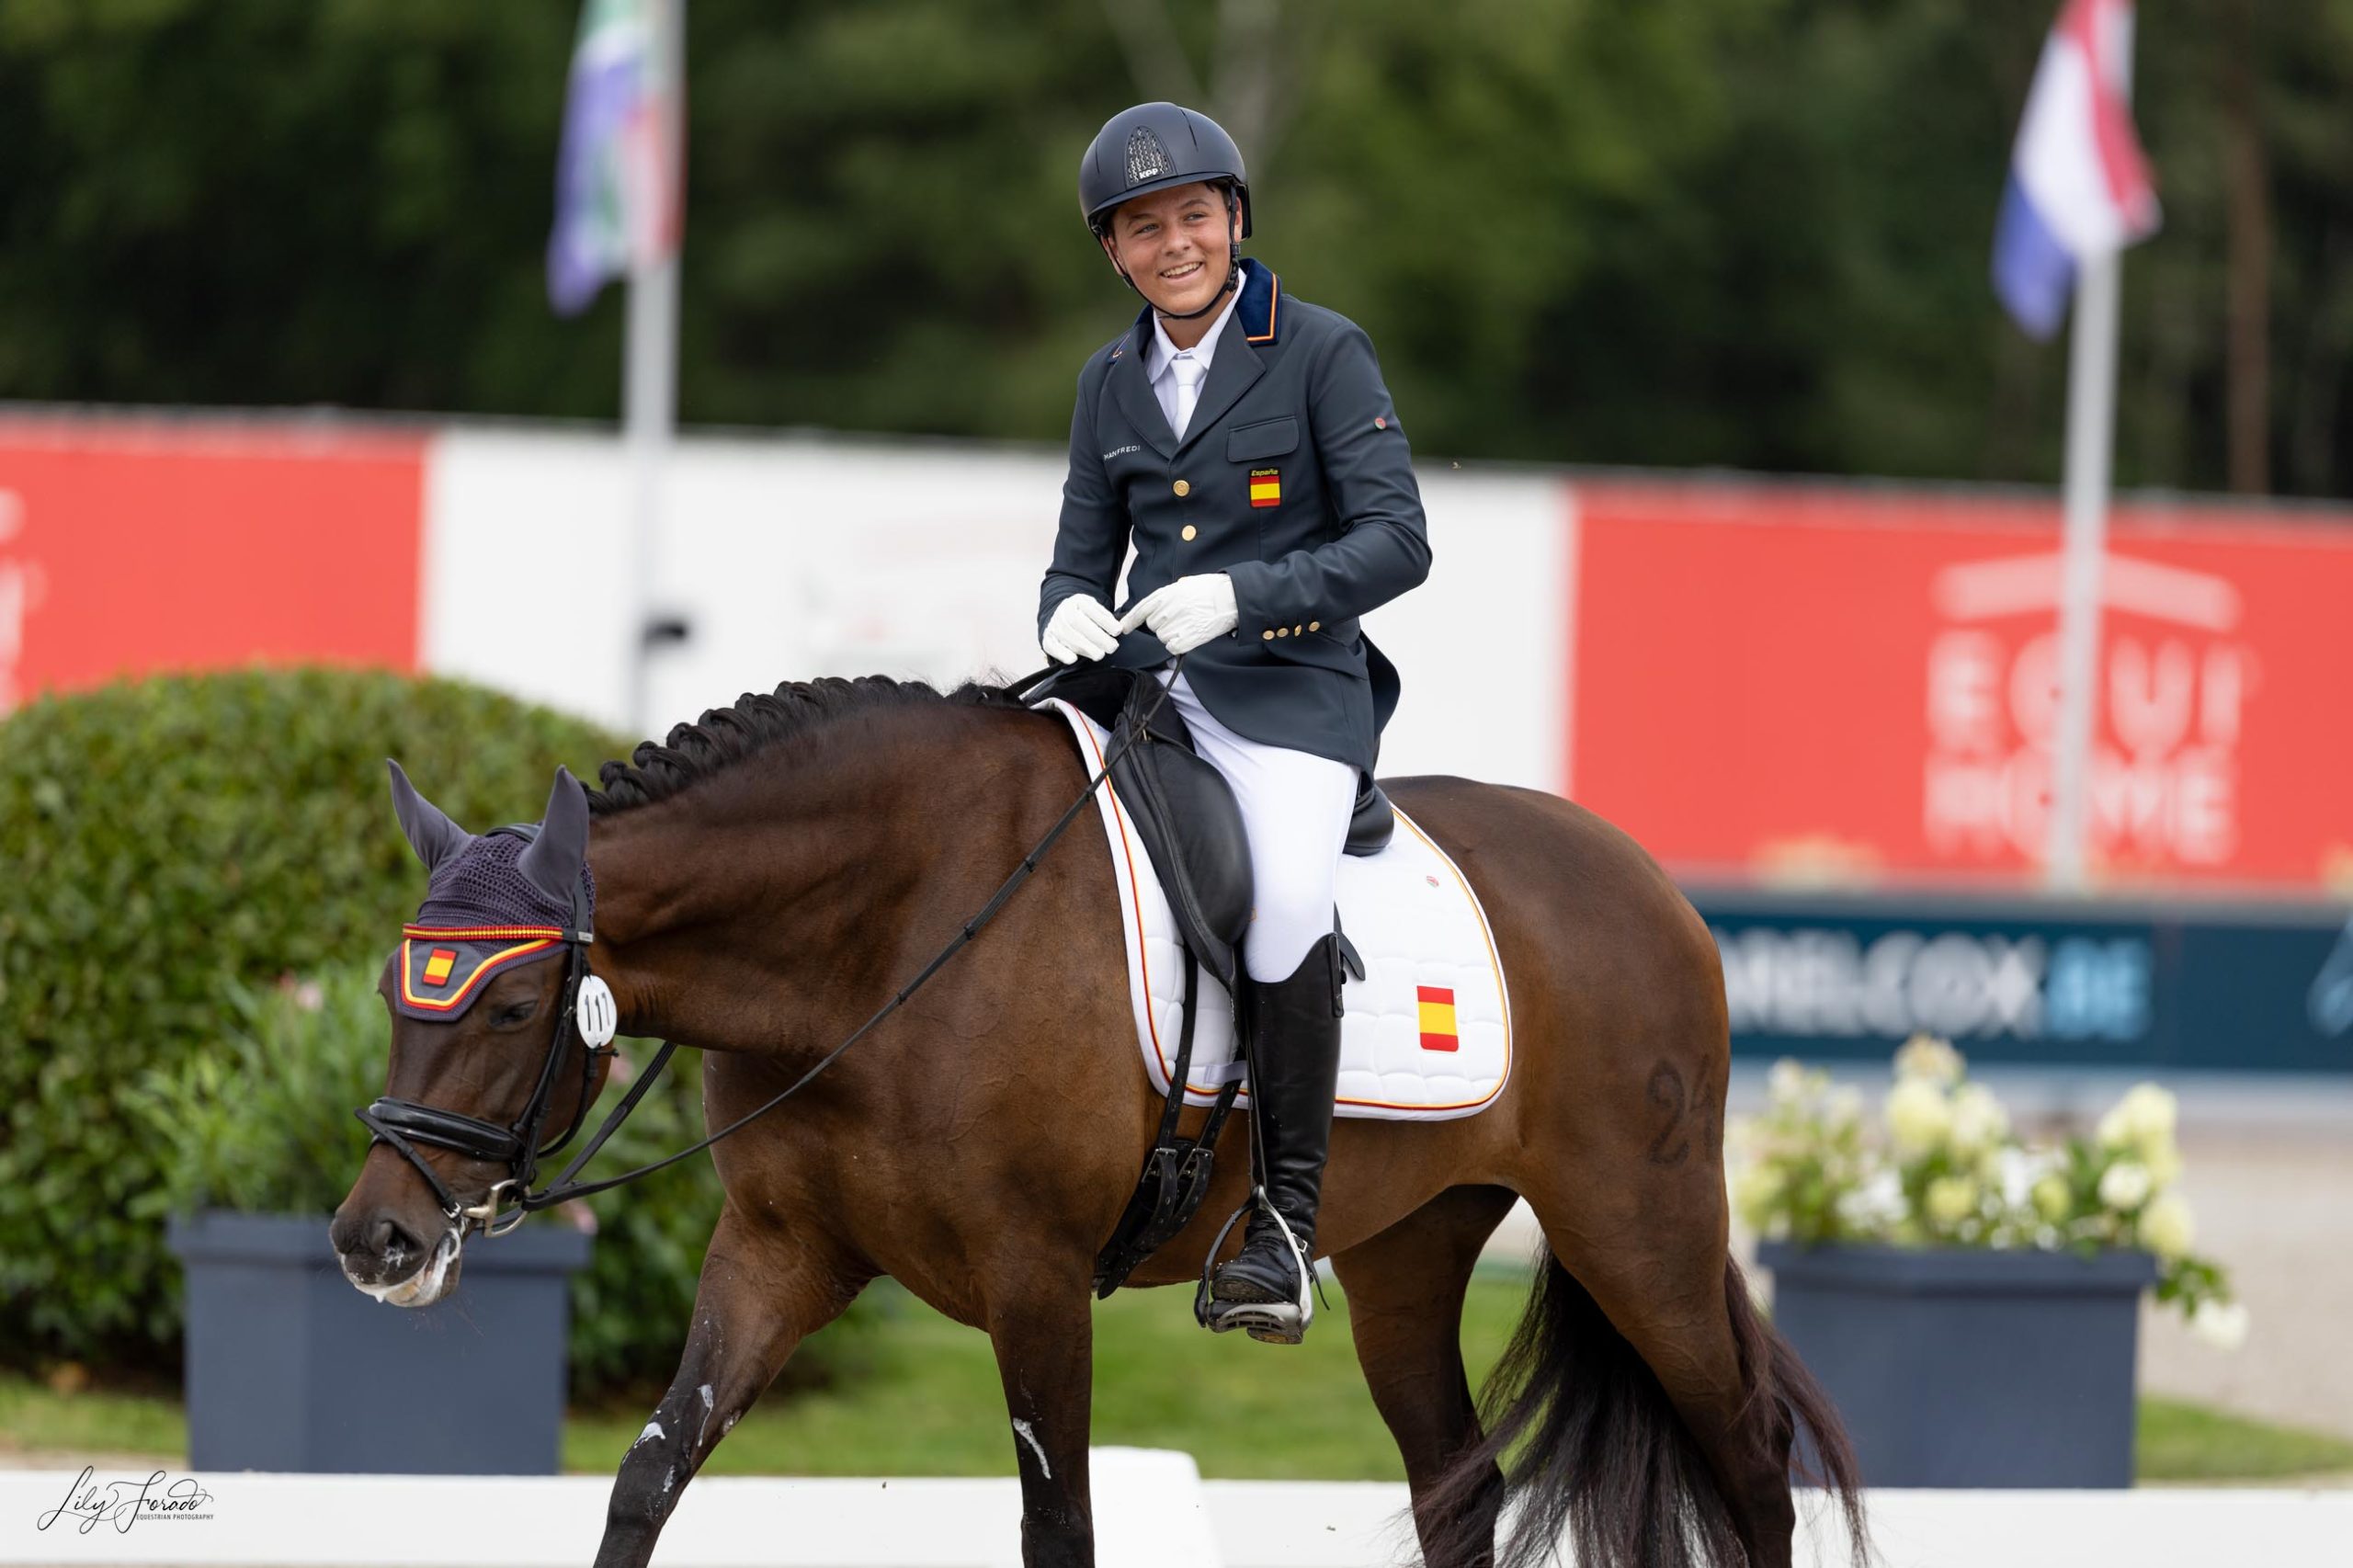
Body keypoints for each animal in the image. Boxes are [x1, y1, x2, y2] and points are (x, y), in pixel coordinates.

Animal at [326, 673, 1854, 1562]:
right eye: (400, 992)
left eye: (510, 1010)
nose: (374, 1241)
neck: (881, 937)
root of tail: (1649, 883)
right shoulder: (777, 1251)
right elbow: (648, 1475)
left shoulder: (1037, 1276)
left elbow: (1058, 1526)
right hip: (1411, 1252)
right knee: (1459, 1487)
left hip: (1637, 1223)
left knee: (1752, 1467)